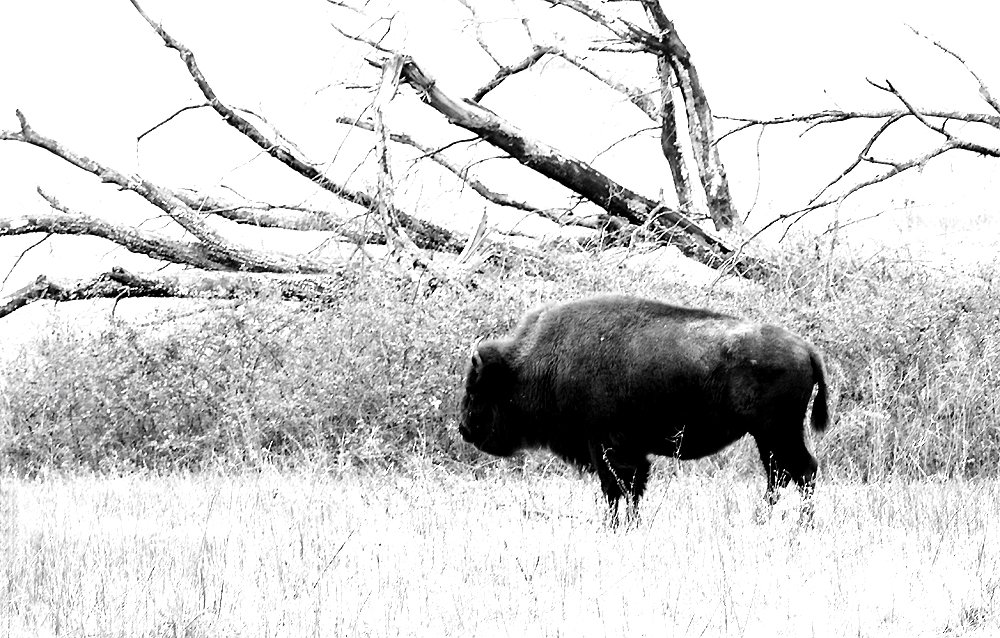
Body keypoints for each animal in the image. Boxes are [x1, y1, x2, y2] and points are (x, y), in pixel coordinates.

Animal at [458, 294, 829, 523]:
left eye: (477, 388)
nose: (465, 428)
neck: (536, 362)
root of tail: (806, 348)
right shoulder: (621, 451)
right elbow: (628, 490)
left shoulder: (607, 447)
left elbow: (618, 489)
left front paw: (616, 526)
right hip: (769, 437)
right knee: (782, 476)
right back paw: (767, 520)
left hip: (777, 432)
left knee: (801, 472)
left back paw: (800, 525)